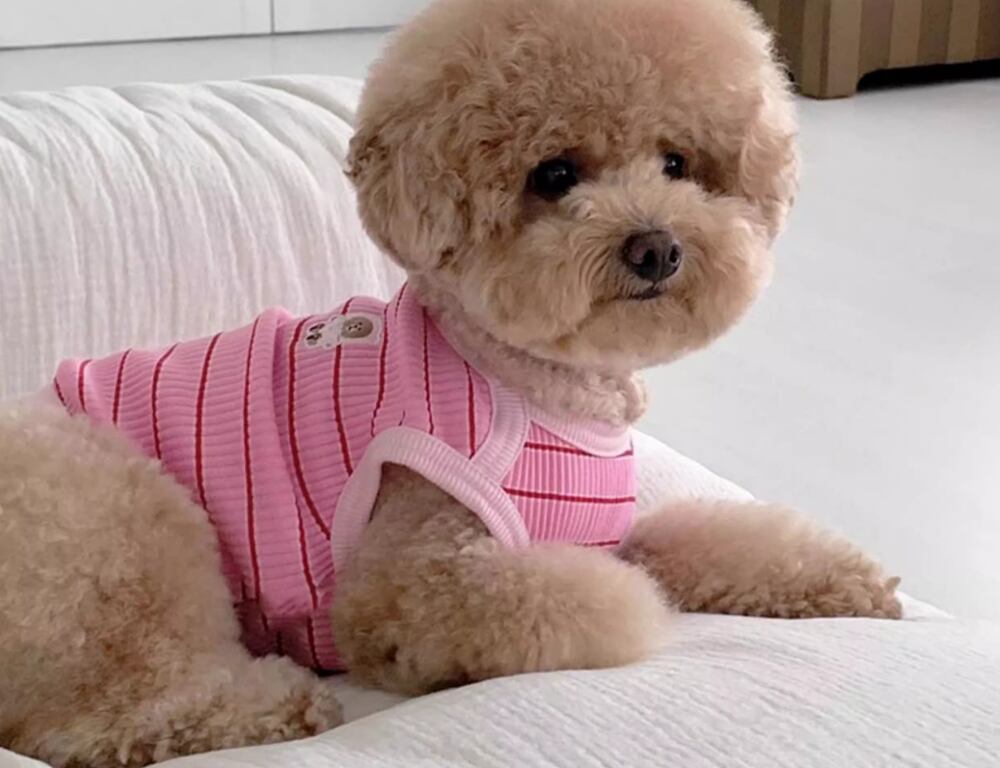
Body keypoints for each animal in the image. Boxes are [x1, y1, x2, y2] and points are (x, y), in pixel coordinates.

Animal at [0, 0, 902, 765]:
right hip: (116, 524)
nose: (657, 248)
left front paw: (845, 580)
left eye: (678, 162)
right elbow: (599, 599)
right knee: (105, 718)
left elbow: (714, 539)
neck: (531, 380)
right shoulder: (411, 579)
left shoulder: (608, 529)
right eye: (554, 176)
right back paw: (271, 707)